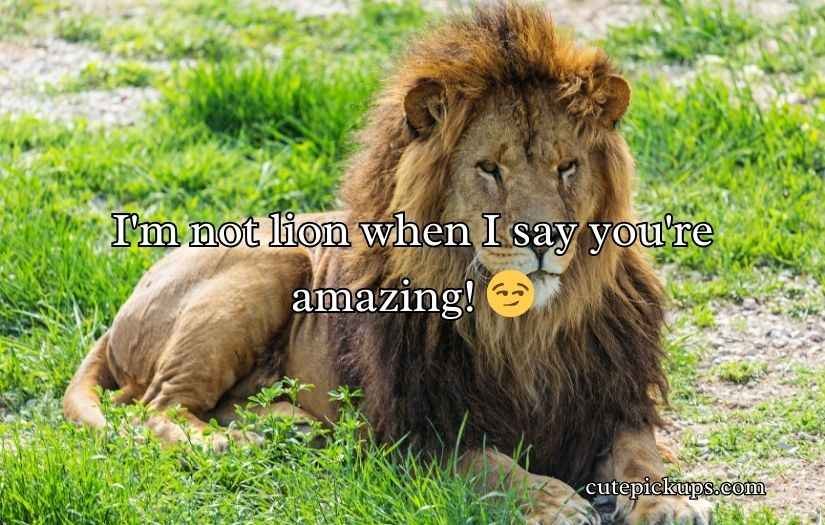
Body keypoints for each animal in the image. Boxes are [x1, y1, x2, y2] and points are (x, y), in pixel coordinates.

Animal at [64, 3, 713, 523]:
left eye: (567, 167)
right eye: (489, 169)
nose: (544, 236)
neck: (524, 327)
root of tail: (123, 309)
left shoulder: (613, 403)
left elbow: (639, 456)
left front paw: (669, 502)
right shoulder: (416, 431)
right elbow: (490, 465)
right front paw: (553, 501)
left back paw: (290, 427)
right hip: (267, 267)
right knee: (155, 408)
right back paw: (242, 444)